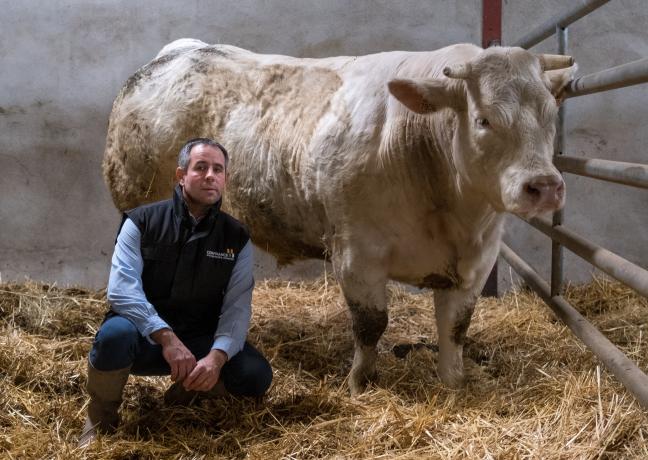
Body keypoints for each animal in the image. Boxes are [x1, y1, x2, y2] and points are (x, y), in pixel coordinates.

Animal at [103, 39, 573, 395]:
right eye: (483, 119)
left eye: (551, 116)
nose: (544, 185)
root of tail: (182, 52)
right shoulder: (356, 253)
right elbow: (371, 324)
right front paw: (360, 383)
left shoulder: (477, 262)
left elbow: (456, 327)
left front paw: (453, 383)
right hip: (132, 202)